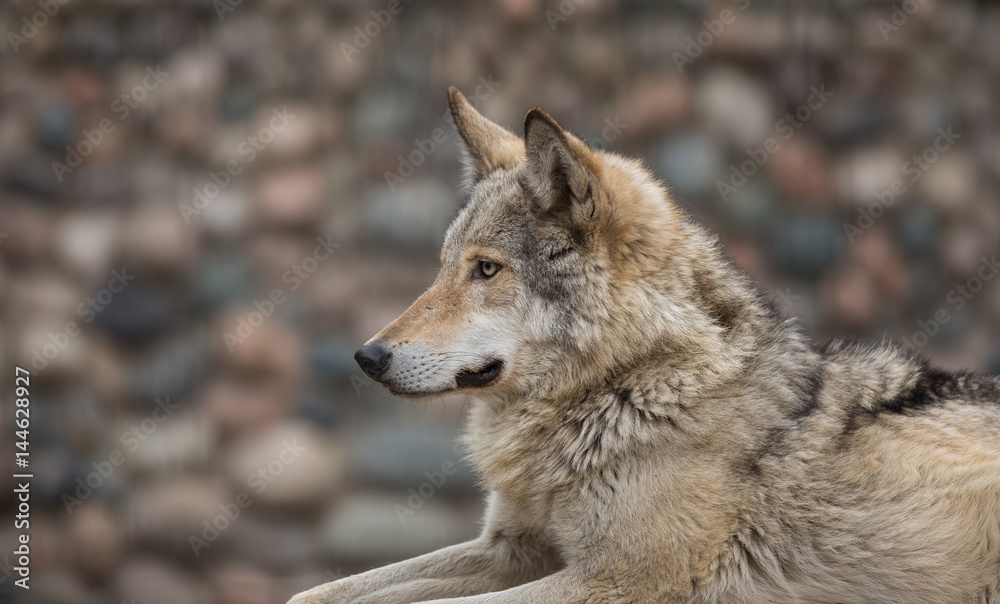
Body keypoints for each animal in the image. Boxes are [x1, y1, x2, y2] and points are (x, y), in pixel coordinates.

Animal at [290, 87, 1000, 600]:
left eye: (486, 269)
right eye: (441, 267)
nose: (367, 357)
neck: (628, 386)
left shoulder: (619, 579)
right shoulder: (512, 547)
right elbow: (318, 593)